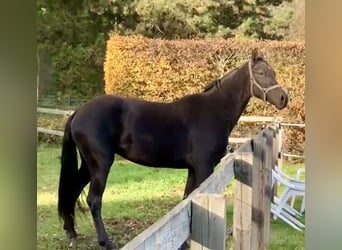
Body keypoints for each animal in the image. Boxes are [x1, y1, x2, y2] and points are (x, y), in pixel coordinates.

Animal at [58, 48, 288, 248]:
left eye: (274, 73)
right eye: (261, 73)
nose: (284, 98)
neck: (214, 111)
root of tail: (78, 112)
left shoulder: (192, 169)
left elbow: (187, 200)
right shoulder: (204, 167)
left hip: (89, 165)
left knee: (72, 190)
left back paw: (71, 233)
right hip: (102, 164)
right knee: (94, 200)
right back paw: (105, 242)